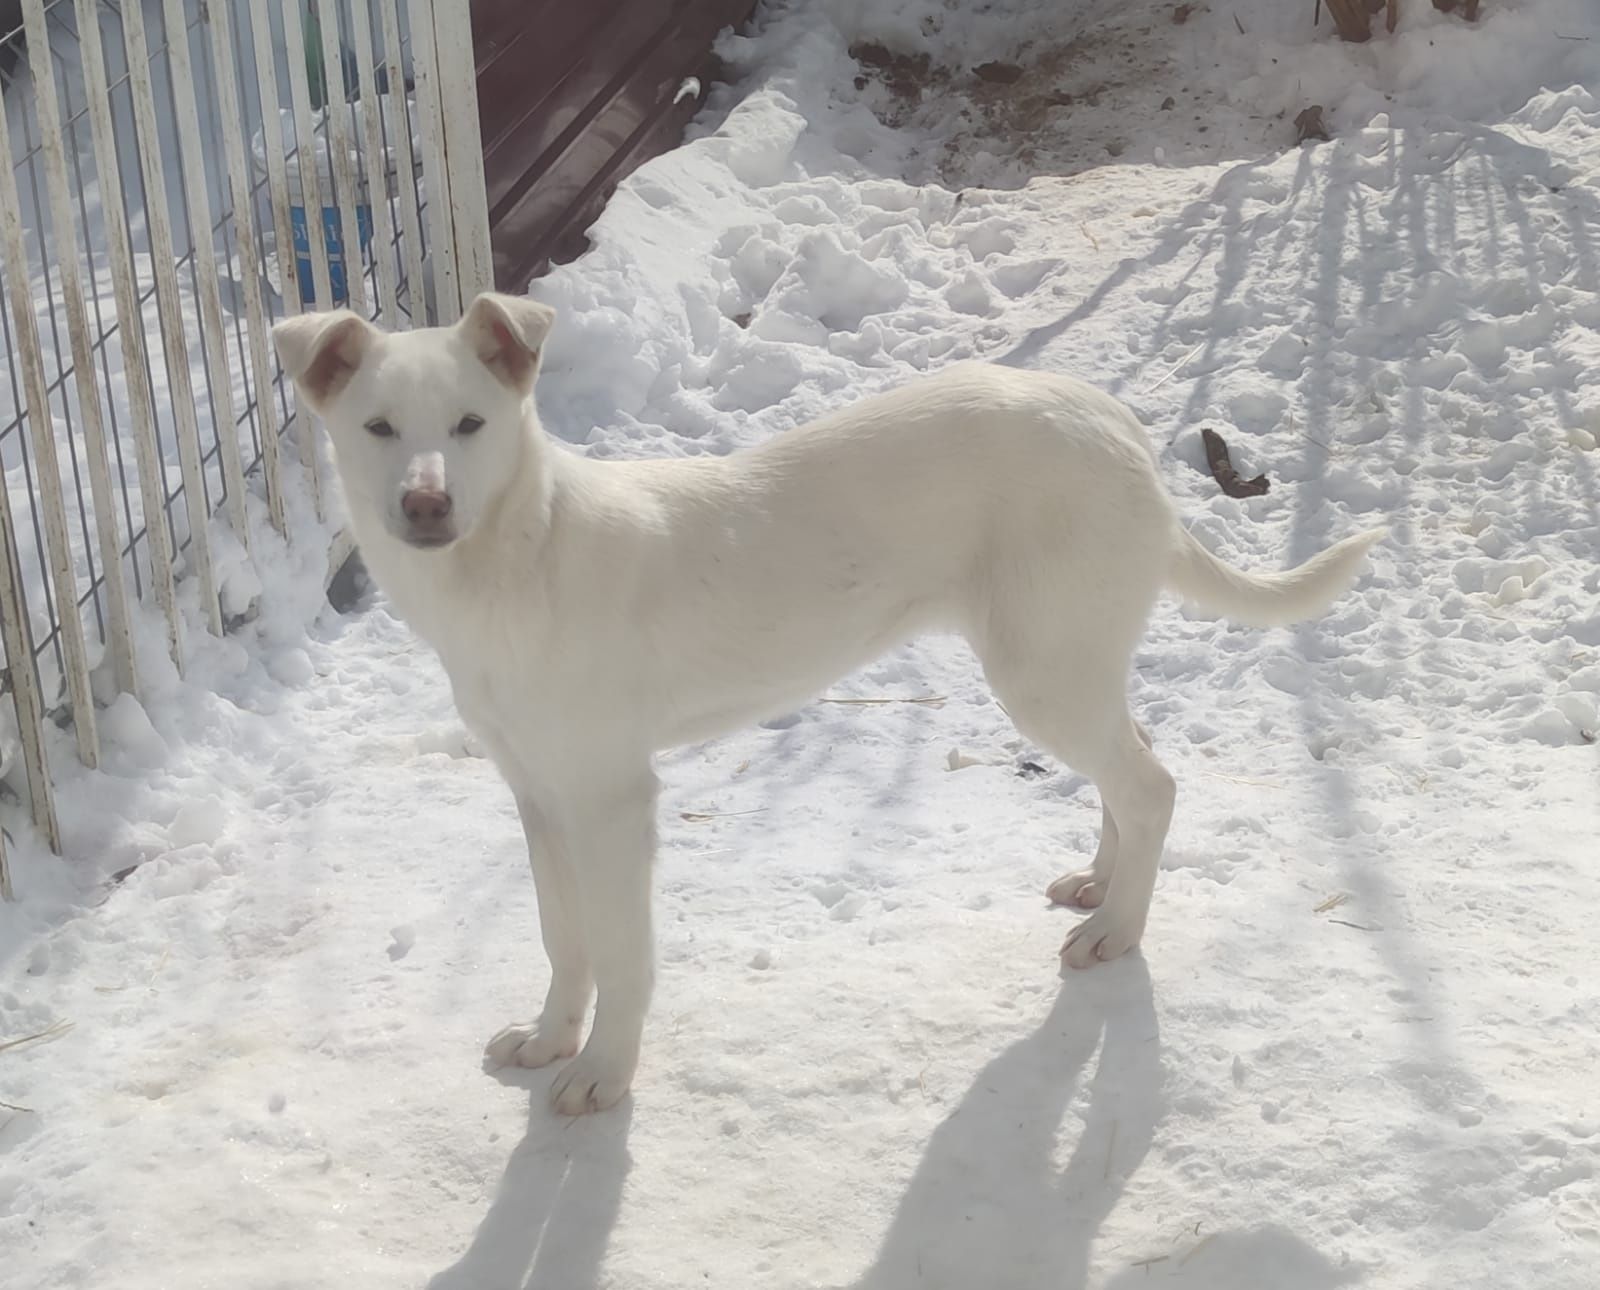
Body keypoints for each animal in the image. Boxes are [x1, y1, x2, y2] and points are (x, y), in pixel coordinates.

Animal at [272, 297, 1376, 1113]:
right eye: (377, 429)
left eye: (471, 425)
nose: (424, 505)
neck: (517, 562)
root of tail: (1119, 429)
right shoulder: (540, 797)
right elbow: (562, 935)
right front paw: (551, 1039)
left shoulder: (610, 801)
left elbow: (622, 953)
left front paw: (603, 1075)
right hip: (1073, 658)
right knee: (1129, 763)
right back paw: (1101, 887)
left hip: (1043, 670)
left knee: (1151, 785)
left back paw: (1119, 932)